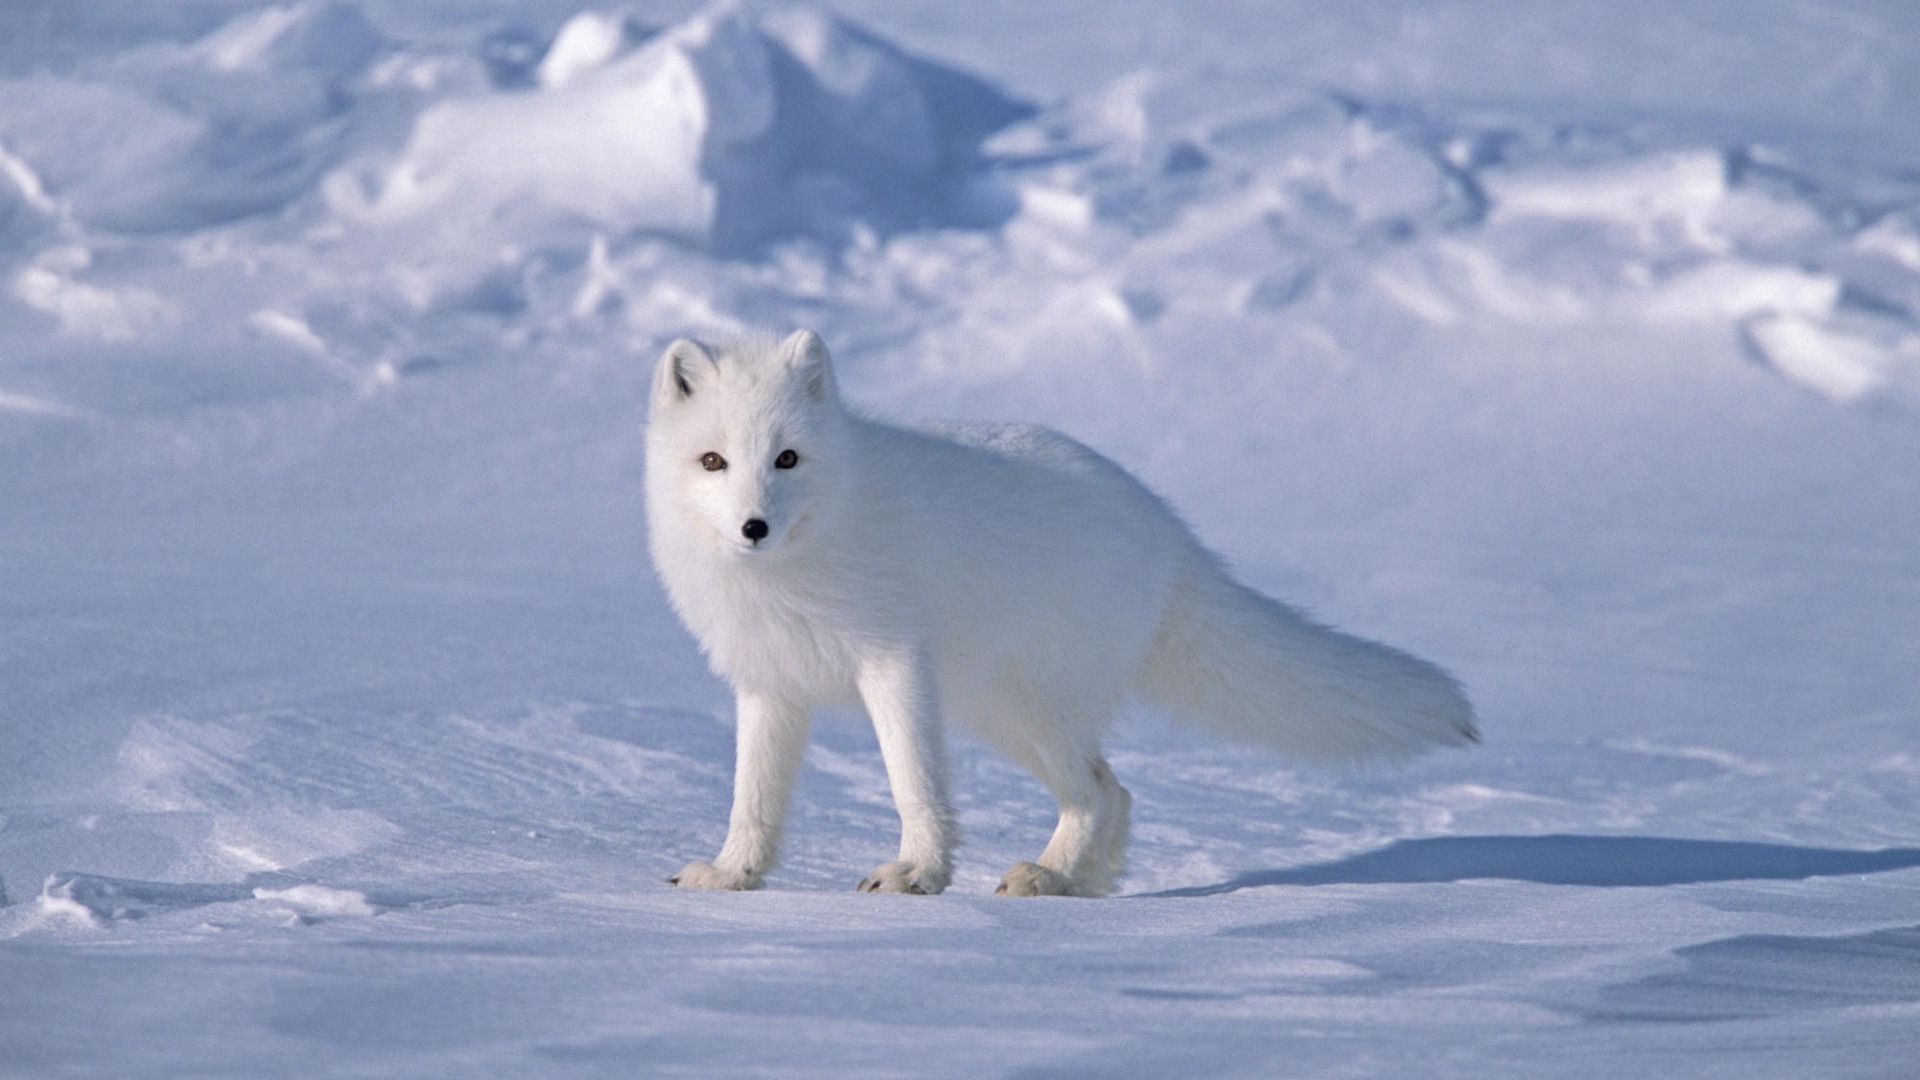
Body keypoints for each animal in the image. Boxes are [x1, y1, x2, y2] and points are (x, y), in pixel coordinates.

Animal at [652, 326, 1474, 891]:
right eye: (714, 461)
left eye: (788, 458)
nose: (754, 526)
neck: (796, 566)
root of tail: (1171, 534)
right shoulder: (769, 684)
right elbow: (753, 798)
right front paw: (733, 875)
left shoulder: (893, 664)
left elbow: (913, 782)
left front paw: (916, 875)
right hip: (1002, 714)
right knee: (1116, 792)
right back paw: (1077, 885)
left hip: (1028, 707)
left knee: (1100, 792)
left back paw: (1049, 877)